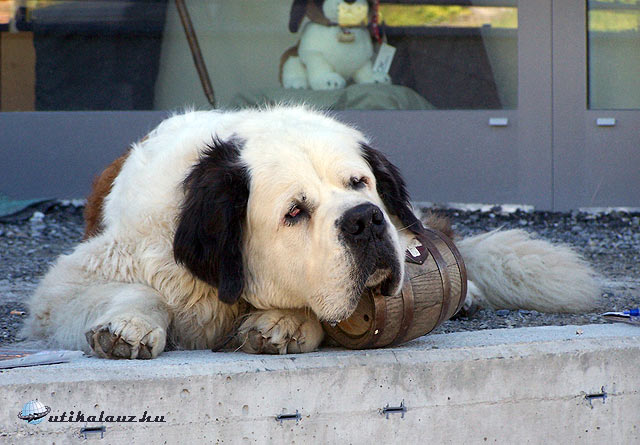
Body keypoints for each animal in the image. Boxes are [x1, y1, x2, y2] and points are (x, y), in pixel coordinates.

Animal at [23, 106, 600, 359]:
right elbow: (135, 290)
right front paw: (129, 325)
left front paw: (285, 323)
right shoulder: (68, 286)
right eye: (295, 212)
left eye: (359, 183)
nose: (365, 219)